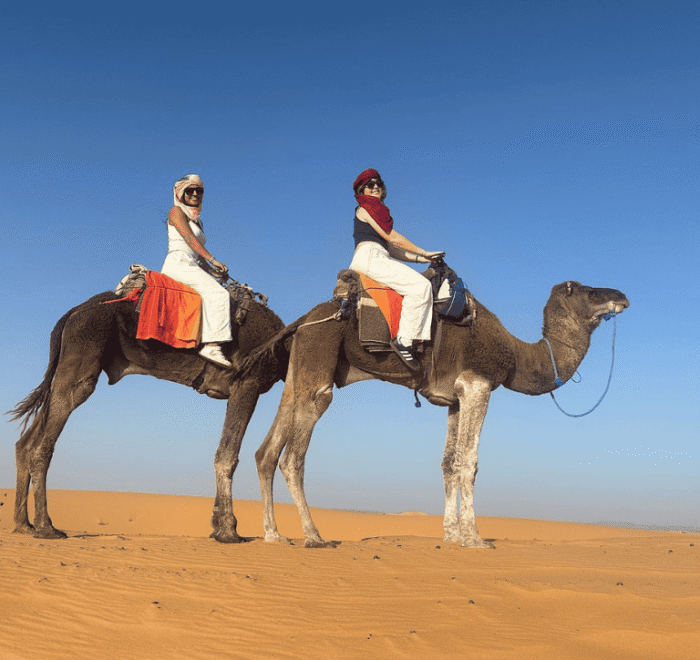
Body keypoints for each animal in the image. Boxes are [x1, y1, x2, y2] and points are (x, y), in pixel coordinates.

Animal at [8, 287, 287, 542]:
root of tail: (75, 312)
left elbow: (223, 449)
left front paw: (217, 525)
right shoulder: (247, 383)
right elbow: (228, 455)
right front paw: (229, 531)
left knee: (26, 441)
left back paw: (23, 525)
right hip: (83, 353)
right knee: (44, 442)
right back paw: (46, 527)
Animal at [251, 278, 629, 548]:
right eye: (592, 291)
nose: (623, 297)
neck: (516, 354)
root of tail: (304, 319)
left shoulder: (454, 399)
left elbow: (448, 463)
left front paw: (451, 535)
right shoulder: (478, 384)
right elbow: (469, 463)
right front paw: (475, 538)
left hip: (298, 368)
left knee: (267, 450)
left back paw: (273, 534)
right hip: (319, 356)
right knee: (294, 452)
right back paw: (314, 536)